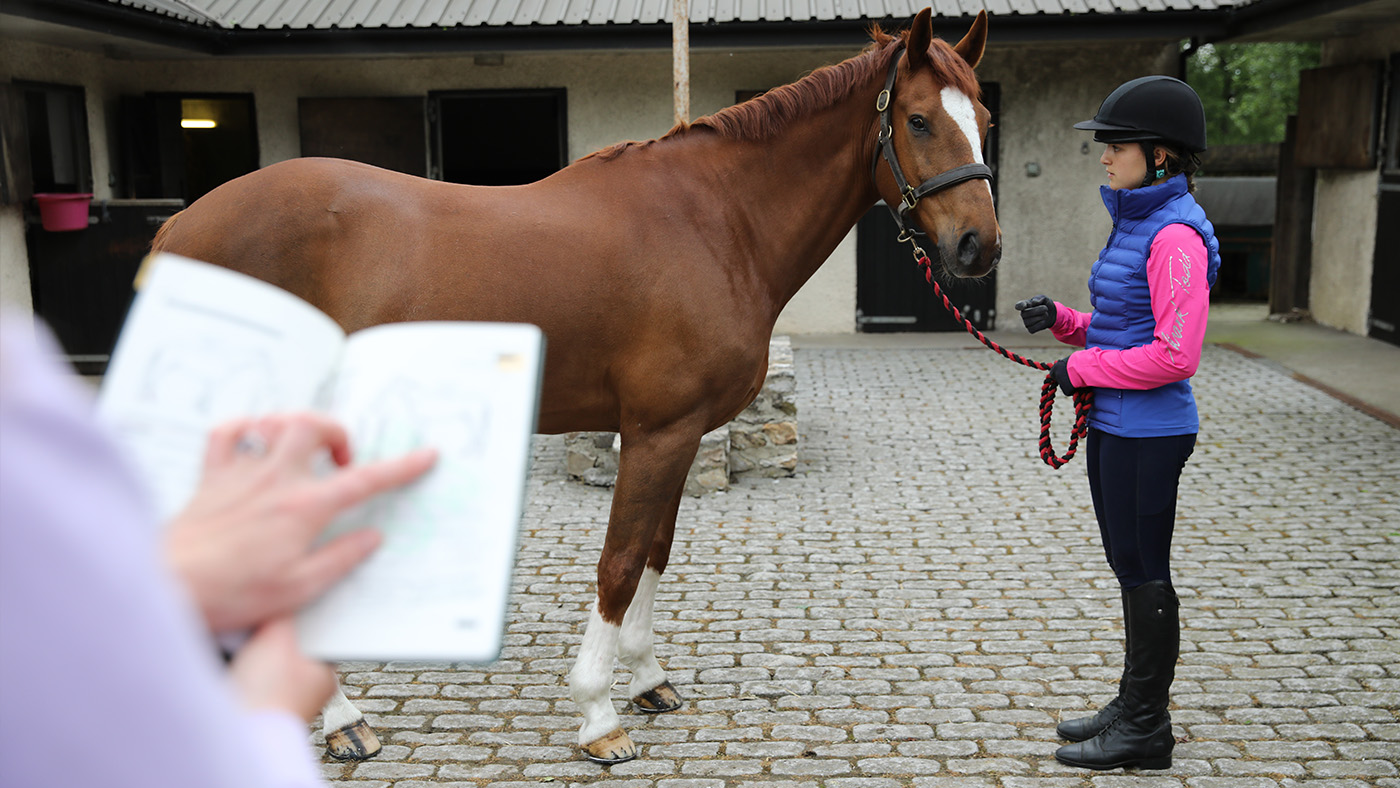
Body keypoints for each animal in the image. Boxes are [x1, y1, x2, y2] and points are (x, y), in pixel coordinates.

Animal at [150, 7, 1000, 764]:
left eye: (986, 116)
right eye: (920, 121)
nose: (978, 248)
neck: (715, 222)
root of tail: (180, 225)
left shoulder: (682, 433)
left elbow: (655, 551)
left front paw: (649, 681)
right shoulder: (656, 431)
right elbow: (619, 563)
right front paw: (598, 717)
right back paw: (341, 720)